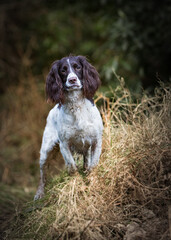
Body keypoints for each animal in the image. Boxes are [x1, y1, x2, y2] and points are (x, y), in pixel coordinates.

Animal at [34, 55, 102, 200]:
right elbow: (72, 167)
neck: (76, 106)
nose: (72, 80)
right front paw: (77, 186)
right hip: (46, 150)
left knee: (86, 162)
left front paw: (92, 183)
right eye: (63, 70)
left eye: (78, 67)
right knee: (43, 174)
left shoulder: (96, 141)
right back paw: (39, 194)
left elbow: (93, 166)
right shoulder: (65, 144)